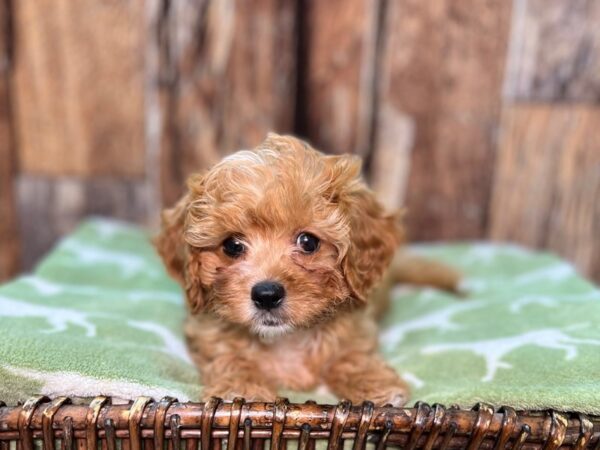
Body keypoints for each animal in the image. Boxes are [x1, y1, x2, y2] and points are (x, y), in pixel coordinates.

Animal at [156, 133, 460, 404]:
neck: (286, 338)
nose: (266, 295)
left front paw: (377, 386)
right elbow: (229, 357)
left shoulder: (357, 326)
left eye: (308, 242)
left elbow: (351, 356)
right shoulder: (206, 333)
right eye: (231, 245)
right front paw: (240, 390)